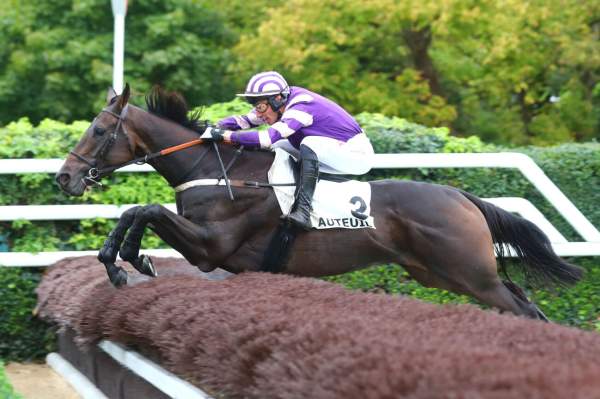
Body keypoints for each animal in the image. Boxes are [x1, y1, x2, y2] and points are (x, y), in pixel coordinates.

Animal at [56, 85, 580, 322]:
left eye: (98, 131)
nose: (65, 177)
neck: (219, 169)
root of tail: (462, 196)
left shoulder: (211, 247)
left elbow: (143, 210)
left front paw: (128, 259)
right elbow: (135, 212)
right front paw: (123, 259)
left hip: (469, 272)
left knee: (522, 307)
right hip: (441, 273)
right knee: (521, 301)